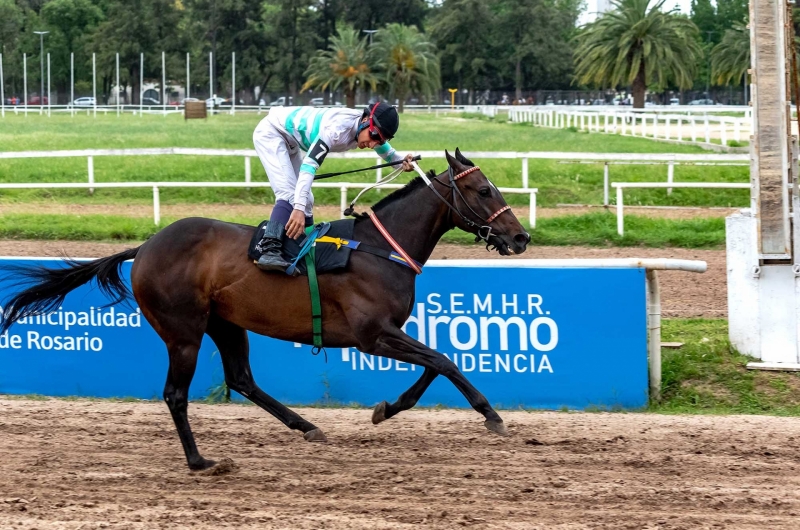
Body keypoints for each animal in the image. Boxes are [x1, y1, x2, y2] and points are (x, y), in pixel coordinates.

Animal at [1, 147, 532, 466]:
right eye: (483, 190)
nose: (521, 237)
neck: (379, 249)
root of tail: (145, 246)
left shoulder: (387, 332)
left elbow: (433, 365)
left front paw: (387, 408)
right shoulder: (372, 334)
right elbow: (444, 360)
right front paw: (491, 415)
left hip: (225, 323)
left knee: (241, 379)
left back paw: (307, 426)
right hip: (183, 330)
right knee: (176, 394)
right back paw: (200, 461)